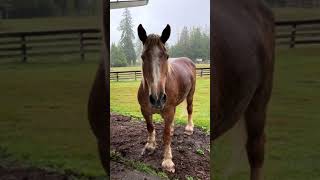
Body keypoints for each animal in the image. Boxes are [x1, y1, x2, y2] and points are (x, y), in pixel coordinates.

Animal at [137, 24, 196, 173]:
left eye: (166, 56)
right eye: (142, 56)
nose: (157, 98)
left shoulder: (169, 111)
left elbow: (166, 135)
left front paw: (168, 160)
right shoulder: (145, 110)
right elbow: (150, 127)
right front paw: (150, 145)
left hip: (190, 94)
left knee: (189, 109)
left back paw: (189, 128)